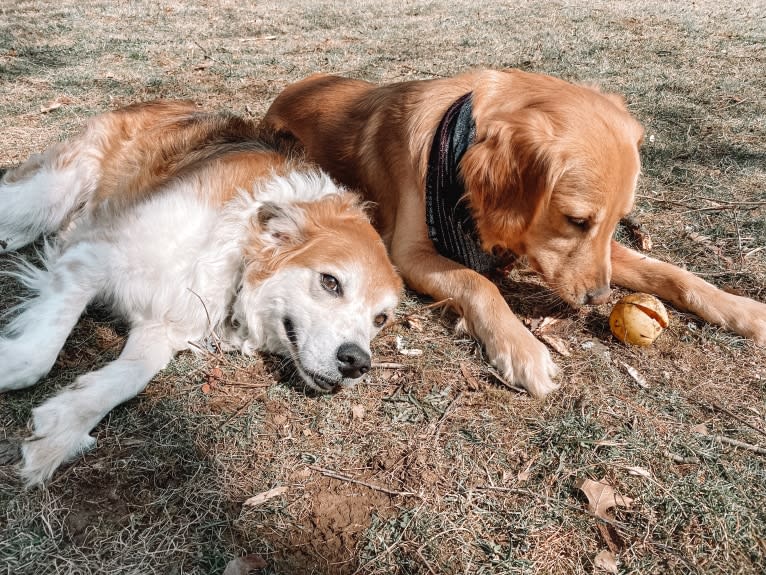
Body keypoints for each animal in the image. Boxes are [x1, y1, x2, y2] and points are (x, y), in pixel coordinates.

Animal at [0, 100, 404, 486]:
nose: (357, 363)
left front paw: (61, 427)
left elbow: (130, 377)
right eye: (330, 282)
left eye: (380, 319)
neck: (235, 249)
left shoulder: (165, 323)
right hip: (47, 195)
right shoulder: (92, 258)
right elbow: (35, 360)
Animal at [262, 68, 766, 396]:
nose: (599, 298)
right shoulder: (407, 253)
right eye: (576, 220)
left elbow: (671, 273)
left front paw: (742, 309)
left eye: (617, 220)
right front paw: (522, 350)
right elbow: (478, 282)